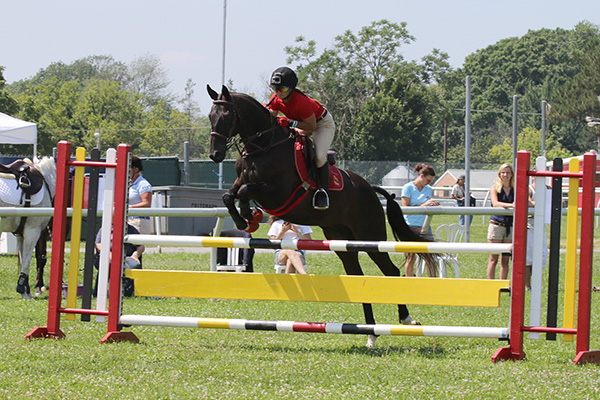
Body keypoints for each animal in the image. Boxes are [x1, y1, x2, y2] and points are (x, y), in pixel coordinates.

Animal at [206, 85, 432, 346]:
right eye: (210, 116)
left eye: (227, 117)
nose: (215, 155)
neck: (263, 147)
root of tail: (371, 190)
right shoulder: (242, 181)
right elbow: (228, 195)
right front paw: (246, 219)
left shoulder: (278, 193)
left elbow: (245, 191)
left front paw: (248, 215)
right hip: (343, 241)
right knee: (358, 277)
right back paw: (371, 334)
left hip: (370, 236)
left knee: (391, 271)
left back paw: (405, 318)